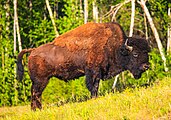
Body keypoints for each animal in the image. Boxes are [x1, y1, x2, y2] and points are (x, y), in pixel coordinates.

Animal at [16, 22, 150, 110]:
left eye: (147, 52)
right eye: (135, 54)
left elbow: (95, 85)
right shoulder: (93, 71)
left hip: (39, 81)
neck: (115, 46)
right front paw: (94, 98)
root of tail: (33, 51)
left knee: (35, 93)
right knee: (36, 93)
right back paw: (38, 109)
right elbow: (93, 86)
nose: (146, 66)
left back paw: (36, 109)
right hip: (41, 80)